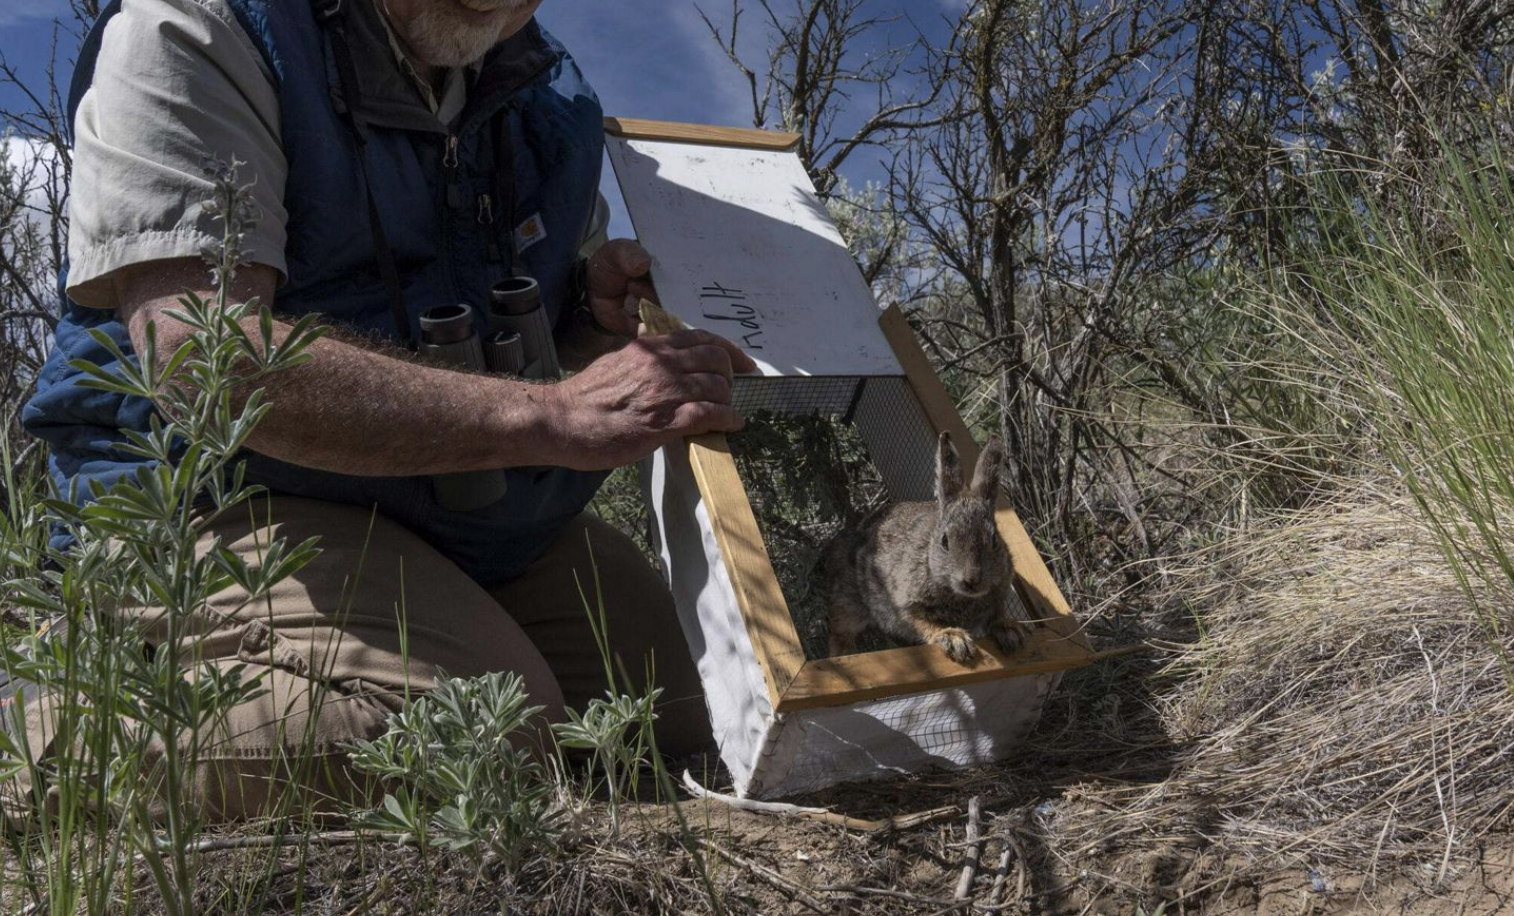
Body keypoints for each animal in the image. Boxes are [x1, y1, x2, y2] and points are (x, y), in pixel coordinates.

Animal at [822, 431, 1030, 663]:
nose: (971, 580)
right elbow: (922, 621)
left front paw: (1008, 630)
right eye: (945, 541)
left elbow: (995, 616)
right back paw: (841, 658)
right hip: (847, 602)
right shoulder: (906, 601)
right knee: (841, 635)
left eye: (994, 540)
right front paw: (954, 638)